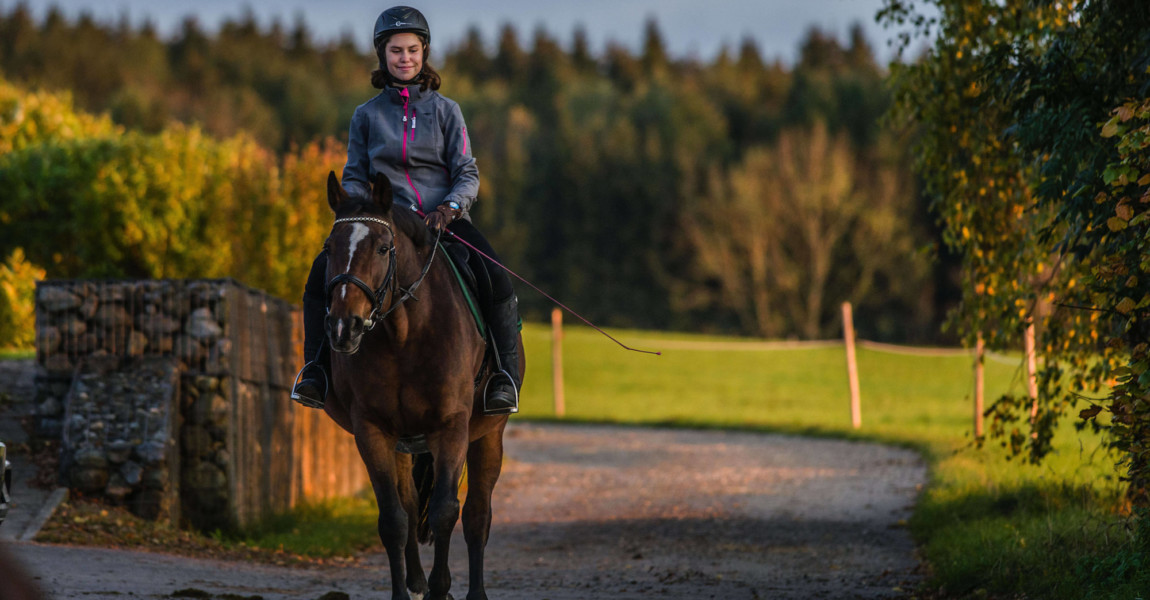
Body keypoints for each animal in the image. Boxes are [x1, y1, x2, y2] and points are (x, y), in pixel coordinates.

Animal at [317, 170, 519, 597]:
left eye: (382, 248)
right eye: (329, 247)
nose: (344, 327)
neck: (404, 334)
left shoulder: (451, 427)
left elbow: (445, 511)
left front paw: (442, 588)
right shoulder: (373, 430)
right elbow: (394, 519)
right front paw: (406, 589)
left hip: (487, 435)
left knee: (477, 514)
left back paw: (474, 590)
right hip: (404, 443)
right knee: (410, 505)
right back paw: (416, 580)